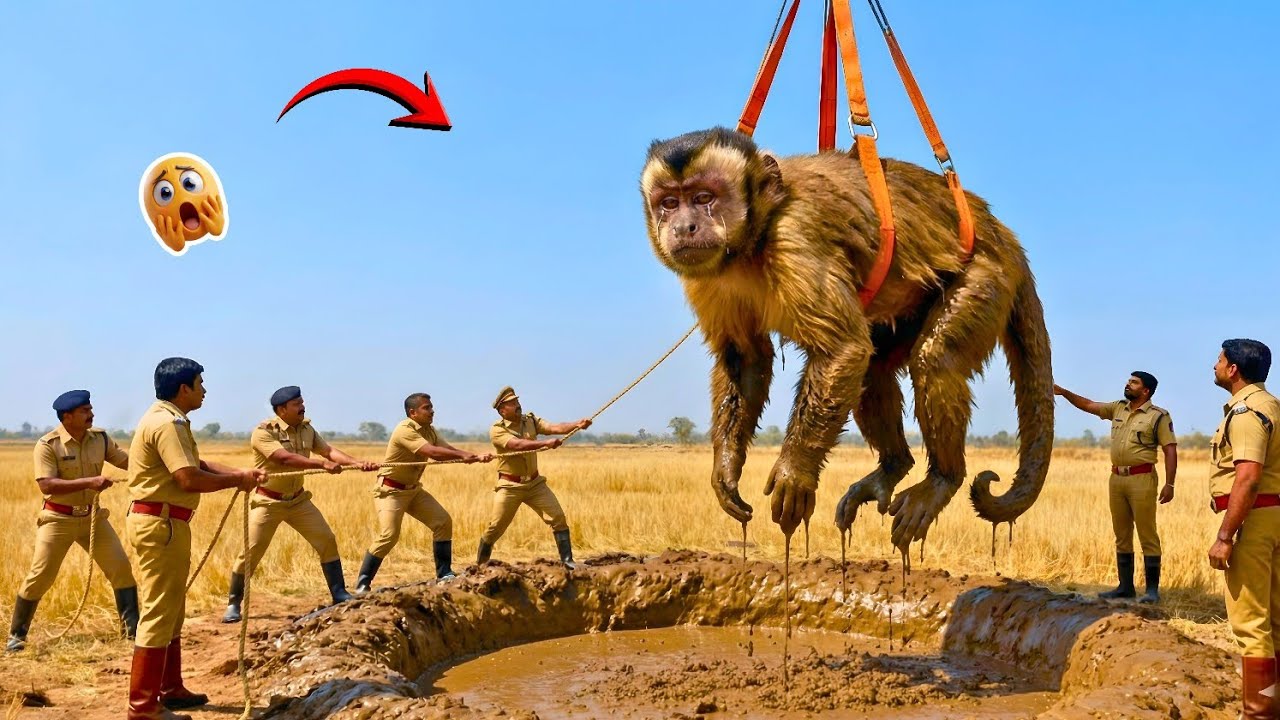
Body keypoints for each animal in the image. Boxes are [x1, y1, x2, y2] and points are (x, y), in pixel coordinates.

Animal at [639, 127, 1054, 550]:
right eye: (669, 203)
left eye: (704, 198)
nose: (683, 227)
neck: (751, 243)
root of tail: (1001, 232)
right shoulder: (705, 276)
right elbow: (746, 358)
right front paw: (726, 468)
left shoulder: (794, 236)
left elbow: (842, 349)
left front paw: (795, 470)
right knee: (874, 369)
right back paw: (894, 466)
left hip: (989, 272)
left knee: (934, 356)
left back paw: (942, 478)